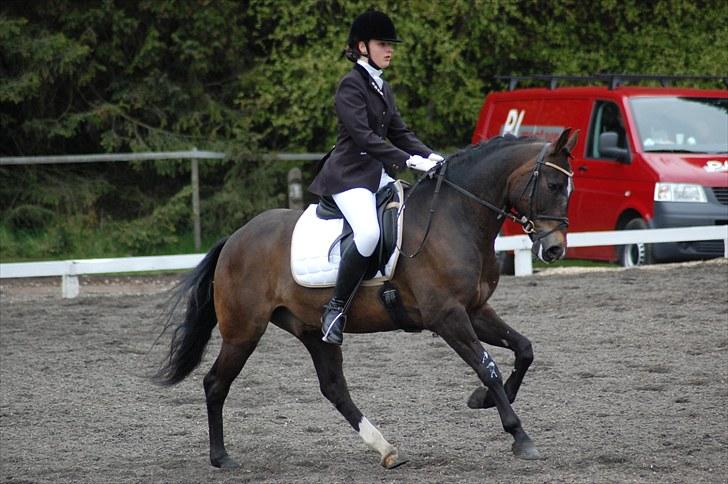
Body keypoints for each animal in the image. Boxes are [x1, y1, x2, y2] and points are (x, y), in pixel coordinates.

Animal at [156, 129, 578, 469]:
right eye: (553, 185)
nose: (555, 249)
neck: (454, 218)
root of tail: (236, 237)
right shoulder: (447, 317)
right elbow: (487, 366)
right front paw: (519, 435)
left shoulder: (474, 310)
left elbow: (524, 349)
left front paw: (483, 400)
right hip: (243, 331)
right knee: (215, 383)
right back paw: (221, 457)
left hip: (311, 331)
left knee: (334, 388)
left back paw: (386, 450)